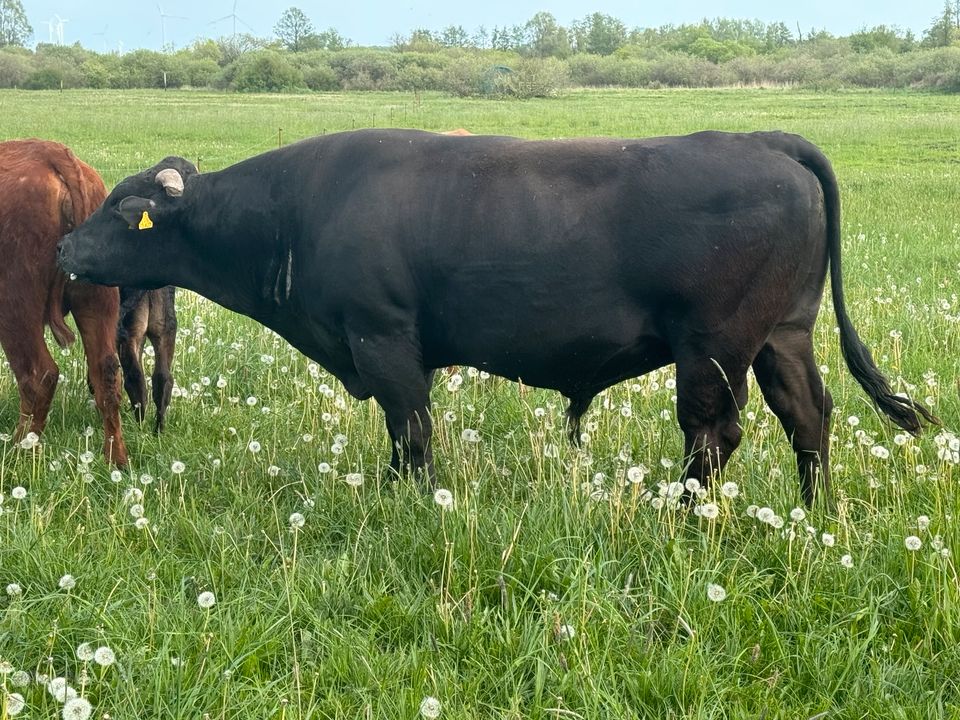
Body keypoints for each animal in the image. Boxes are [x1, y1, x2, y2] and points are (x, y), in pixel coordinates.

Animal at [58, 128, 936, 500]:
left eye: (122, 210)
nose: (66, 245)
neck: (294, 213)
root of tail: (764, 140)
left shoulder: (384, 340)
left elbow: (411, 429)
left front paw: (408, 498)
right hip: (782, 335)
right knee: (808, 415)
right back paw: (811, 506)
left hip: (714, 347)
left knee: (715, 433)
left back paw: (683, 511)